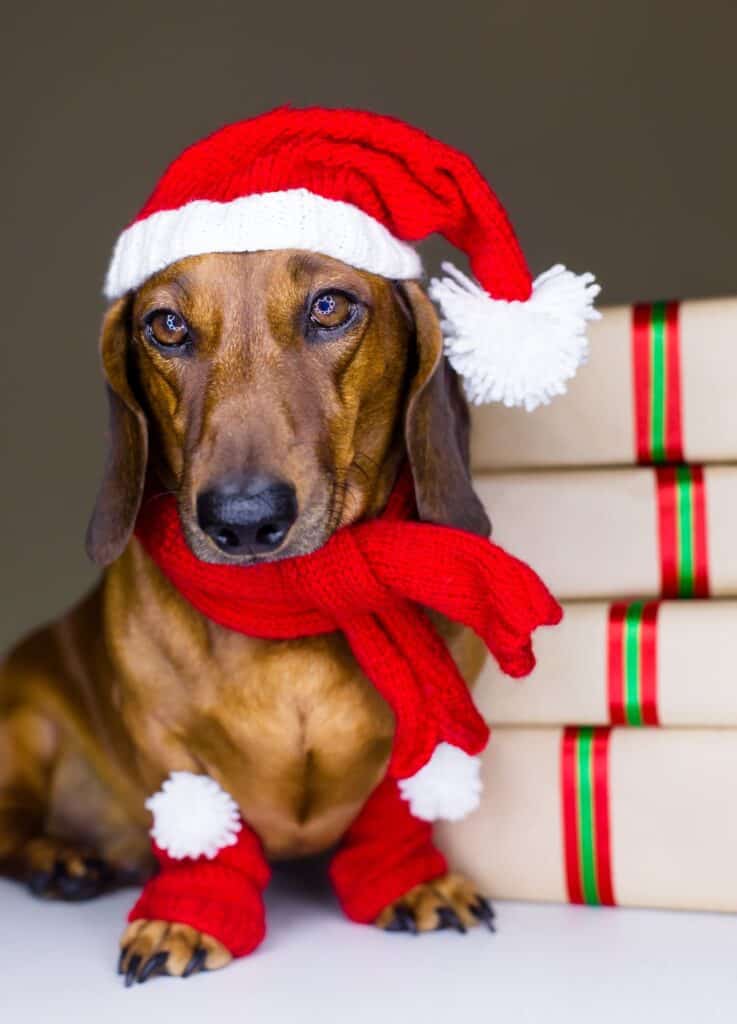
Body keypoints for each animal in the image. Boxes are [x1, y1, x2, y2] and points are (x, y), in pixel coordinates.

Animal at [1, 249, 495, 983]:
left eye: (329, 307)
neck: (290, 609)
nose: (242, 519)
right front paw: (184, 917)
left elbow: (401, 806)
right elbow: (202, 829)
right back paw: (59, 858)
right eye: (166, 325)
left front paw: (413, 882)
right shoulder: (163, 735)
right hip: (22, 726)